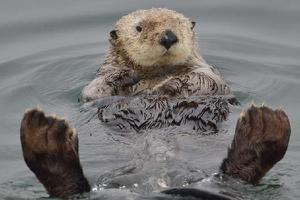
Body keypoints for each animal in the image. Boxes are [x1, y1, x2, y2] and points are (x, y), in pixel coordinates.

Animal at [20, 8, 290, 199]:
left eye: (179, 24)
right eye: (139, 28)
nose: (168, 36)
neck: (156, 74)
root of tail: (154, 183)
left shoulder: (207, 72)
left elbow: (200, 81)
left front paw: (162, 90)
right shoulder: (97, 81)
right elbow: (94, 91)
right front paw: (128, 79)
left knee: (238, 176)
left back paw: (264, 126)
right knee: (71, 188)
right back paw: (44, 134)